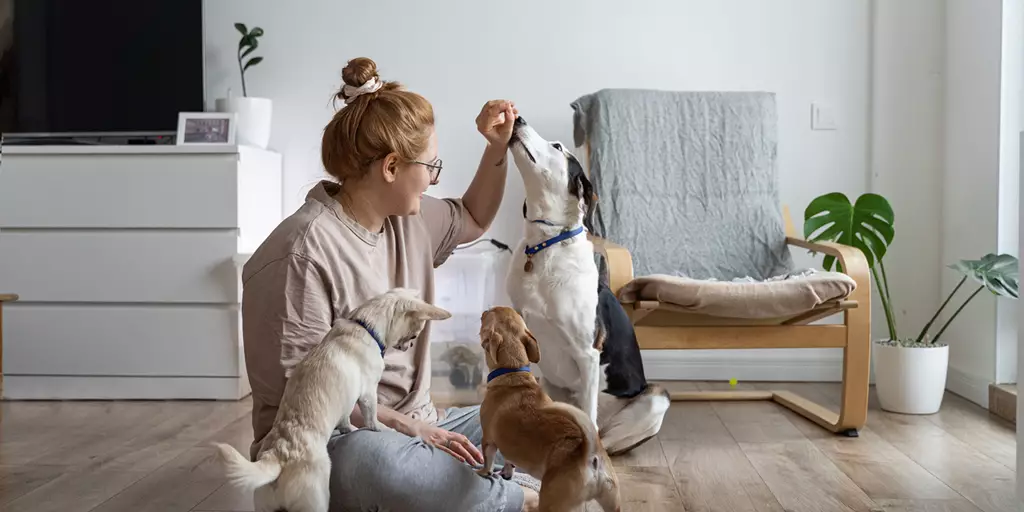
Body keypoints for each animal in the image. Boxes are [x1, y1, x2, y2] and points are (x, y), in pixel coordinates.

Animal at [214, 288, 450, 512]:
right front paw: (379, 428)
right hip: (316, 499)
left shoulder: (347, 402)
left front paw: (350, 429)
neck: (365, 326)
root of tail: (279, 455)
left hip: (265, 505)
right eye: (414, 336)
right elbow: (372, 417)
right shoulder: (368, 393)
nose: (409, 346)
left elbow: (346, 420)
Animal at [475, 305, 618, 509]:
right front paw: (507, 472)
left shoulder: (488, 439)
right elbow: (509, 461)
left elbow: (488, 460)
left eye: (488, 314)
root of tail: (590, 455)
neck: (513, 371)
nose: (485, 310)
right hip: (611, 499)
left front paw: (483, 471)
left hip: (553, 500)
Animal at [503, 117, 671, 456]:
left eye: (557, 146)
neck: (545, 245)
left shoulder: (587, 354)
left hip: (656, 397)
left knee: (603, 438)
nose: (519, 118)